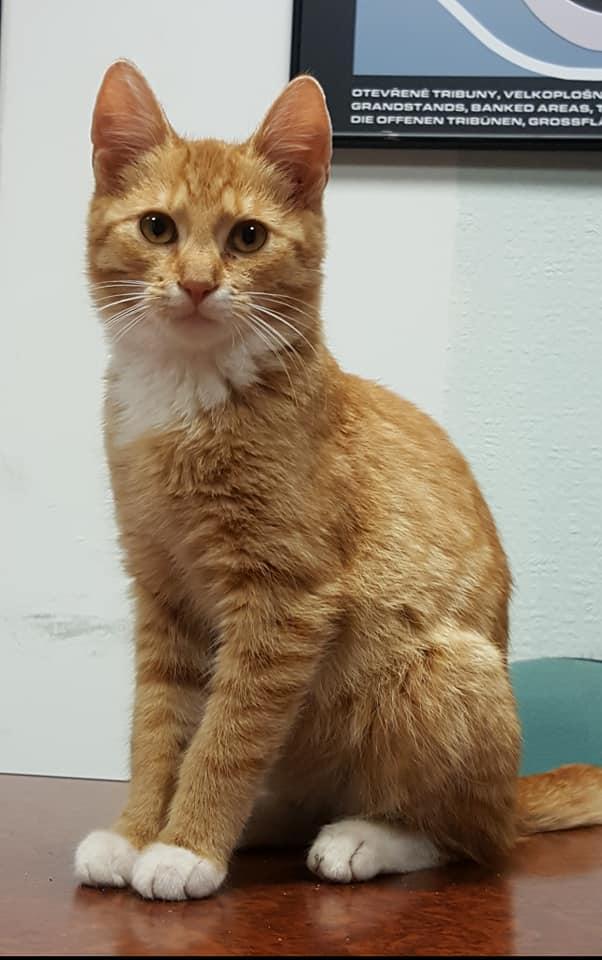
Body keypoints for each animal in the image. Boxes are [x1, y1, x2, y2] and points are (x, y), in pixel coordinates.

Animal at [75, 61, 602, 901]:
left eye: (247, 236)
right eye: (157, 228)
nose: (196, 284)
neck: (186, 396)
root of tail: (513, 789)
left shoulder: (284, 601)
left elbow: (227, 735)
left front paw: (186, 846)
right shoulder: (161, 593)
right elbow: (158, 729)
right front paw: (135, 833)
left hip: (441, 673)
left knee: (470, 838)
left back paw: (366, 839)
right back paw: (264, 824)